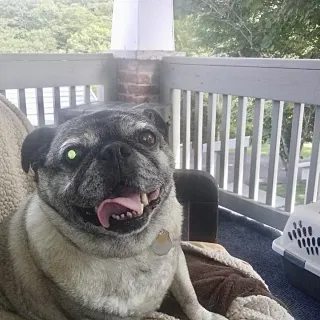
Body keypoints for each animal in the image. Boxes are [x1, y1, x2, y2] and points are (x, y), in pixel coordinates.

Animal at [0, 109, 225, 318]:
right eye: (72, 155)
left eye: (147, 138)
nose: (114, 149)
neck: (130, 251)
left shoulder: (178, 261)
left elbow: (188, 294)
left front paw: (204, 315)